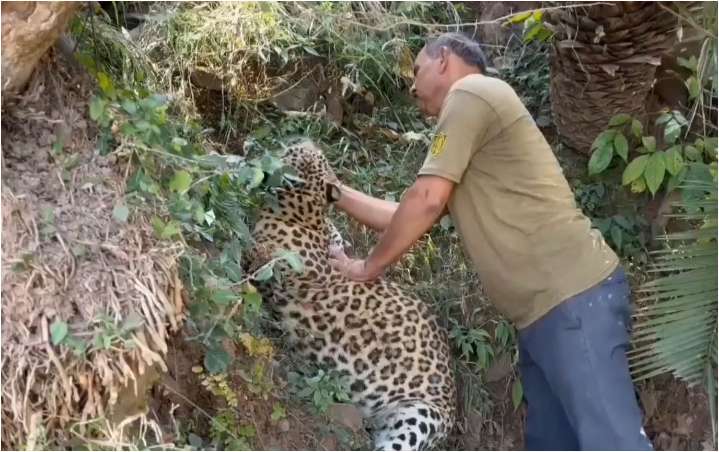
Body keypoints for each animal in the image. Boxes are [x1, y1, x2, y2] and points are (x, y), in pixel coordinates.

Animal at [248, 140, 457, 451]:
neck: (303, 215)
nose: (303, 141)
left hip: (418, 417)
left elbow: (258, 257)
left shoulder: (291, 268)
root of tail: (453, 413)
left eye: (297, 156)